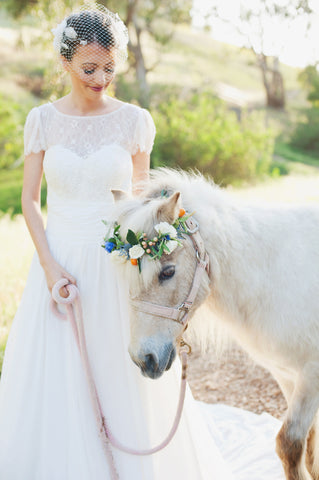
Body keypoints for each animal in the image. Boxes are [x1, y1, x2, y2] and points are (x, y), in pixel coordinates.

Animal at [110, 169, 319, 480]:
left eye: (167, 272)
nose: (143, 358)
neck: (273, 273)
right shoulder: (287, 375)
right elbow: (309, 448)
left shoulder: (310, 375)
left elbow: (291, 444)